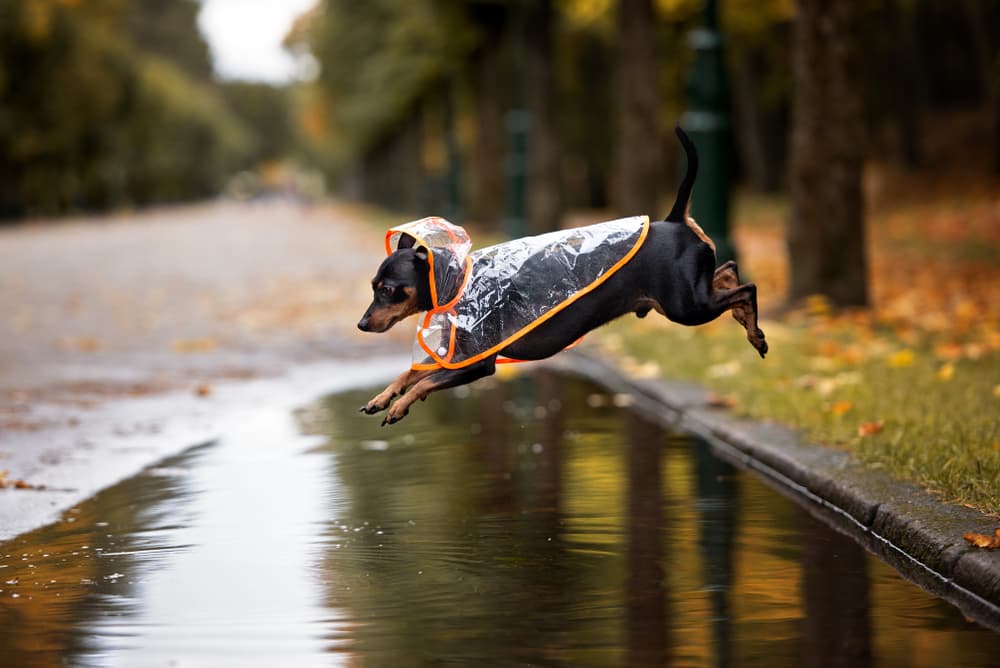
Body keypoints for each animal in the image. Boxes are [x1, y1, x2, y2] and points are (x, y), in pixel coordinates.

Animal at [358, 128, 764, 426]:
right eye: (373, 288)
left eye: (388, 290)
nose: (362, 324)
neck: (455, 284)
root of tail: (676, 219)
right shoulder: (453, 359)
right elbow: (407, 375)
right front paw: (382, 398)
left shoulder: (475, 364)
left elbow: (424, 380)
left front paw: (399, 406)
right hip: (686, 297)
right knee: (727, 272)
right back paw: (747, 323)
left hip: (687, 306)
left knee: (746, 287)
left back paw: (756, 333)